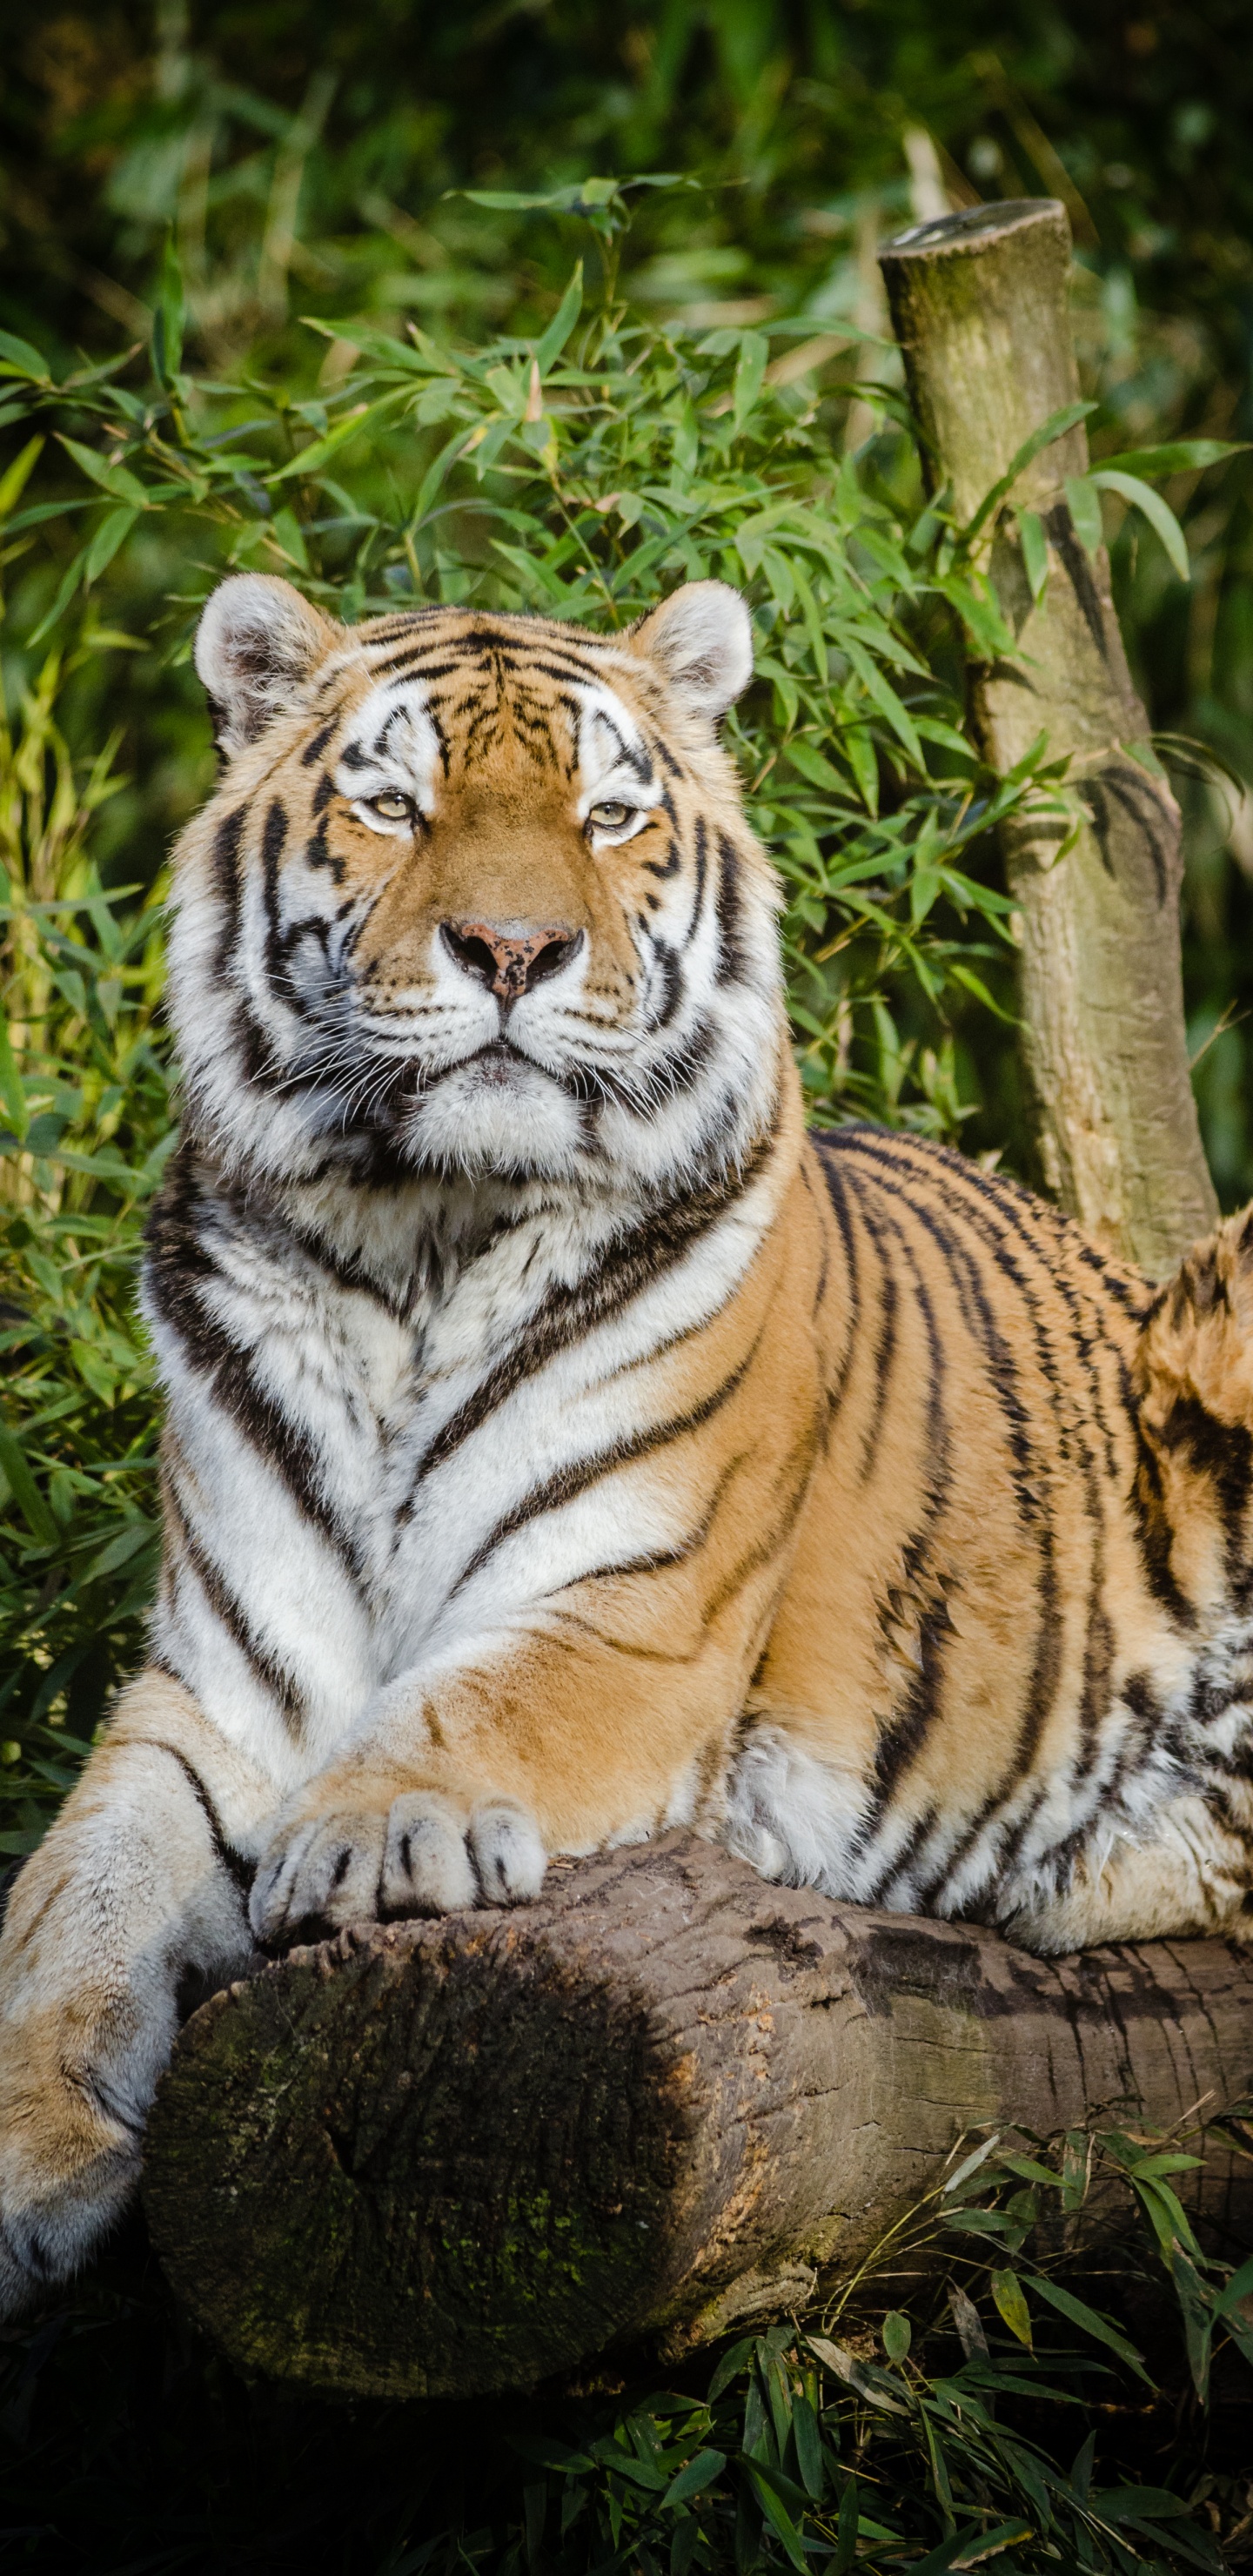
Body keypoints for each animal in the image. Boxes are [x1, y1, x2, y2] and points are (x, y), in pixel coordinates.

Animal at [2, 568, 1252, 2318]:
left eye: (608, 816)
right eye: (396, 806)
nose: (515, 949)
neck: (416, 1241)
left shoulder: (630, 1617)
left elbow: (467, 1707)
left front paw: (367, 1836)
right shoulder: (219, 1692)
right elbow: (66, 1900)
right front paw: (29, 2153)